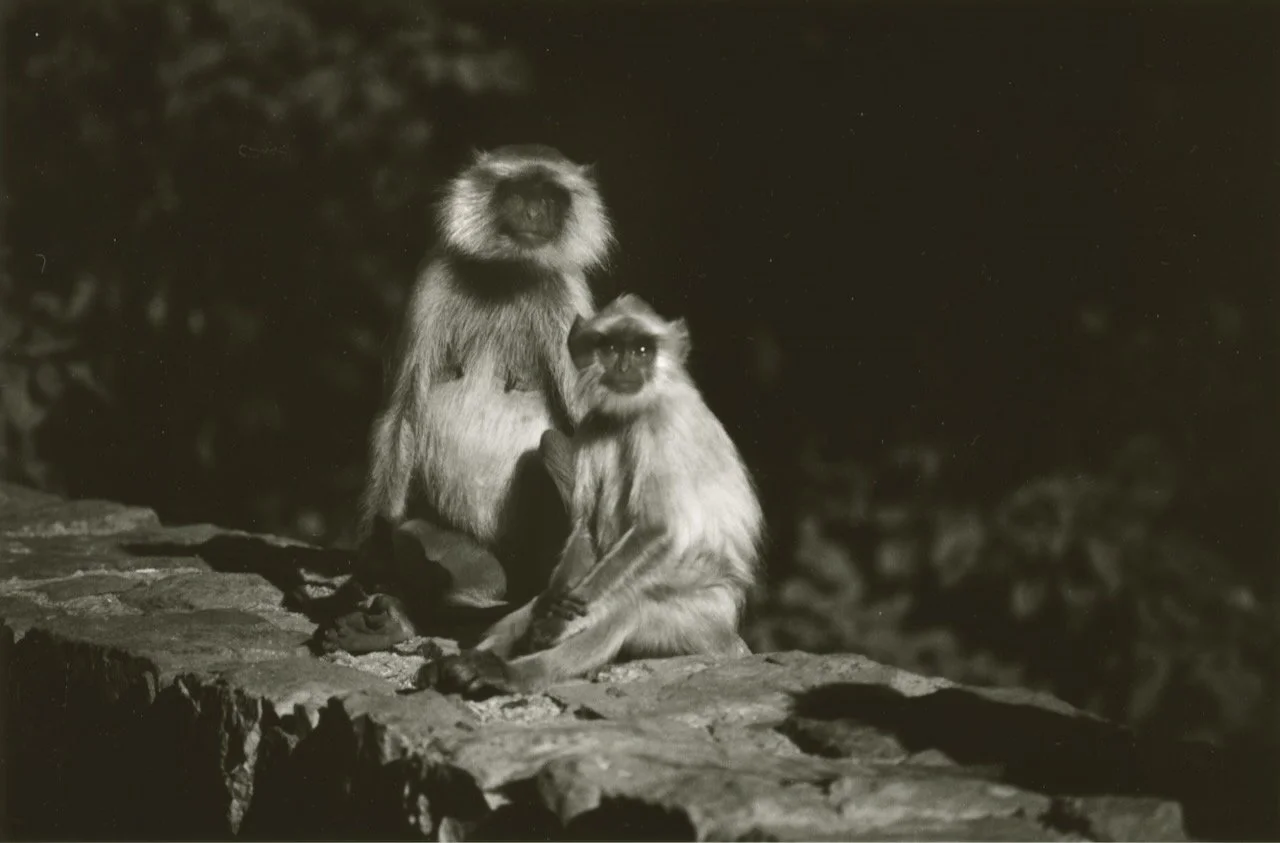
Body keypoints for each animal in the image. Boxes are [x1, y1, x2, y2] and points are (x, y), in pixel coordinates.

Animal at [315, 145, 613, 655]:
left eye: (550, 198)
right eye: (519, 194)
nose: (535, 213)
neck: (509, 274)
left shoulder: (568, 297)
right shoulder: (433, 280)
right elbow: (400, 415)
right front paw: (371, 570)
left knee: (556, 444)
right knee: (413, 535)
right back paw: (399, 617)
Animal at [416, 294, 765, 696]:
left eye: (642, 350)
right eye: (611, 348)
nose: (625, 366)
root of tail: (730, 635)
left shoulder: (663, 424)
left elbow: (657, 528)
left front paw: (557, 625)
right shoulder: (594, 422)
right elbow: (584, 526)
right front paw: (551, 609)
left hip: (701, 617)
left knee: (628, 609)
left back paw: (510, 674)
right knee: (543, 602)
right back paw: (469, 661)